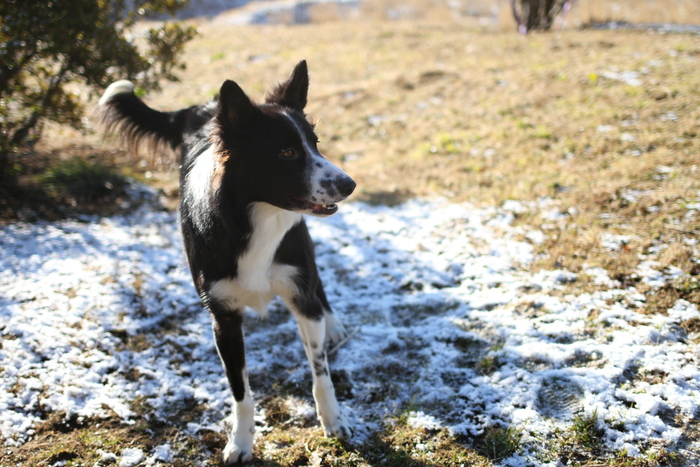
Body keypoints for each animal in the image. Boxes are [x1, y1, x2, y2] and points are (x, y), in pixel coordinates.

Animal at [99, 61, 358, 464]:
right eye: (287, 152)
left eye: (315, 144)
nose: (349, 185)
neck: (255, 219)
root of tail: (202, 108)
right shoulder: (223, 318)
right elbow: (241, 393)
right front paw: (241, 442)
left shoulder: (299, 290)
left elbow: (320, 373)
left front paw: (333, 419)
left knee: (319, 286)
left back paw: (332, 324)